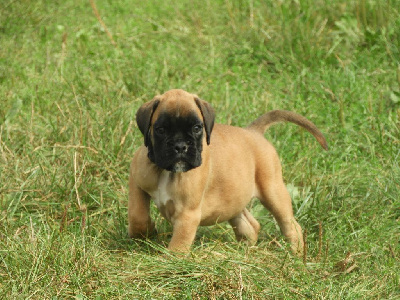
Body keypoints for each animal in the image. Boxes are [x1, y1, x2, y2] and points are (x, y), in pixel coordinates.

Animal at [129, 88, 328, 253]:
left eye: (197, 128)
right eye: (161, 129)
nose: (180, 146)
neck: (167, 171)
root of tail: (254, 132)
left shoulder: (187, 214)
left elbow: (178, 245)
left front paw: (169, 262)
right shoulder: (137, 183)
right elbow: (137, 215)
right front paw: (145, 232)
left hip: (273, 193)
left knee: (290, 225)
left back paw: (296, 254)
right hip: (234, 199)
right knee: (250, 225)